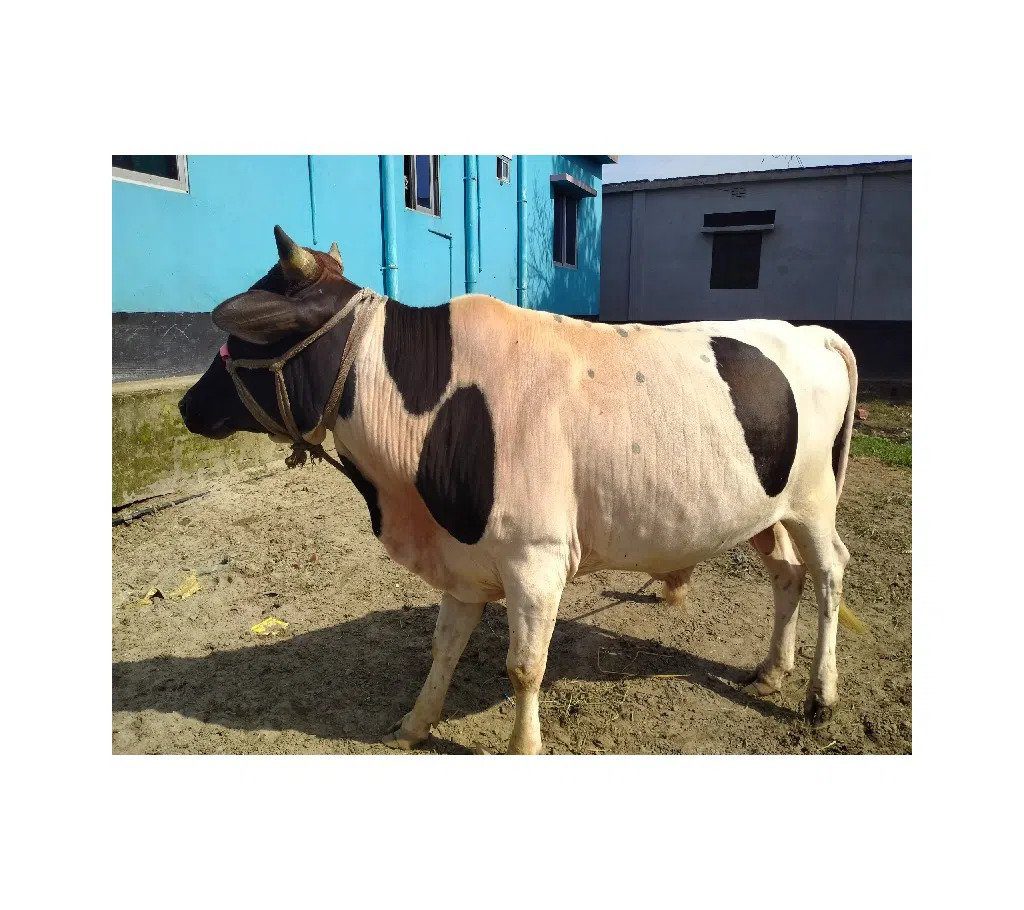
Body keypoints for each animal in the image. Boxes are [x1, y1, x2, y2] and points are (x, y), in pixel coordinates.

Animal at [179, 225, 858, 754]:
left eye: (243, 337)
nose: (187, 404)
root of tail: (809, 330)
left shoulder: (537, 557)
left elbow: (525, 667)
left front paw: (522, 743)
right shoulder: (461, 559)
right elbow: (444, 649)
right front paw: (414, 723)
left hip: (813, 501)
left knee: (829, 573)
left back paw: (820, 693)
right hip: (762, 508)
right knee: (788, 575)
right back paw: (770, 670)